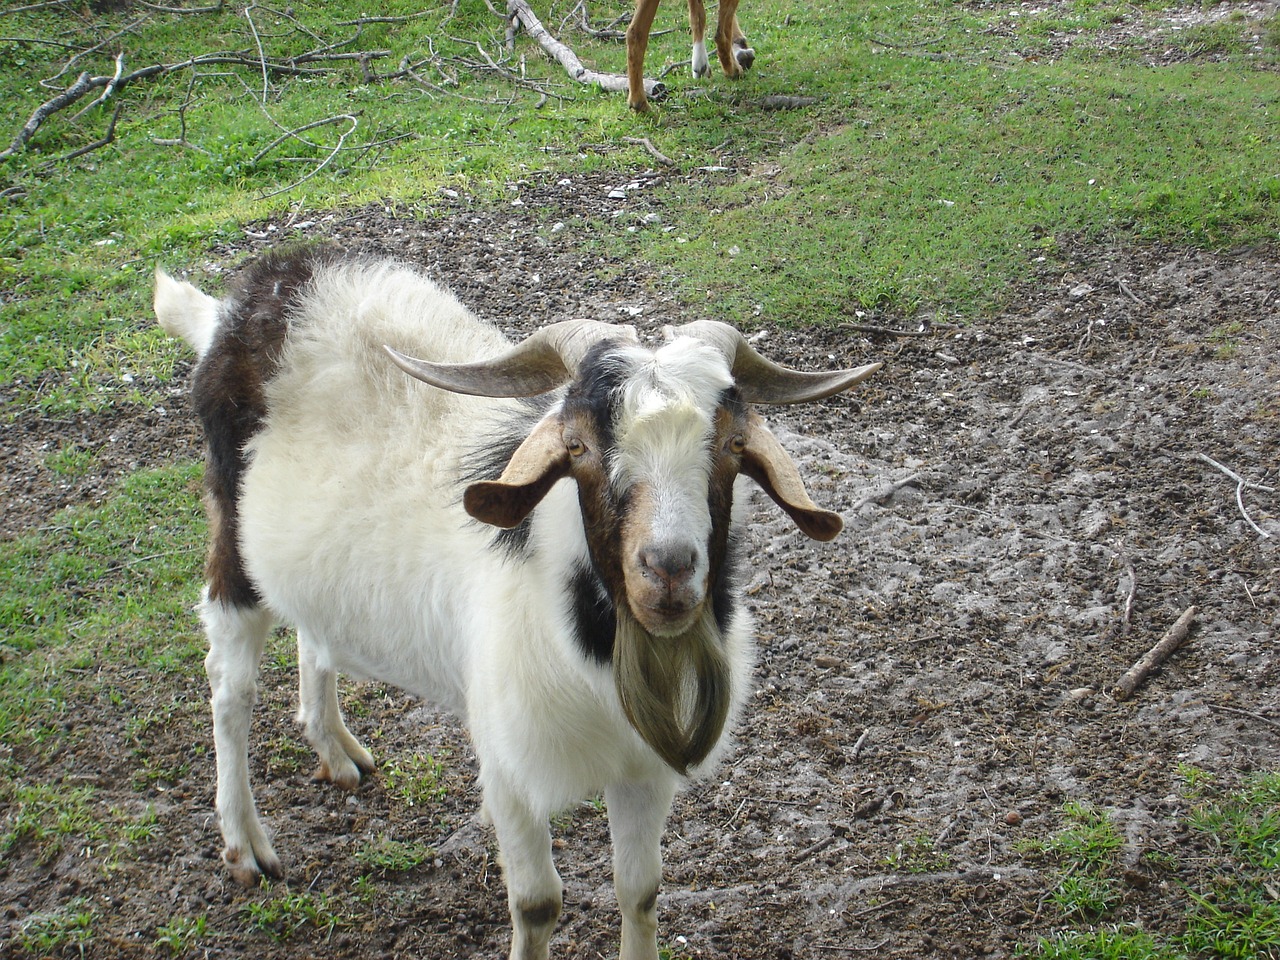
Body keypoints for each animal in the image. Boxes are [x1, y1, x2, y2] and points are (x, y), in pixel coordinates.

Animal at [152, 245, 880, 960]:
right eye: (578, 446)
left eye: (731, 446)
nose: (668, 570)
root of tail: (245, 308)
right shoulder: (508, 766)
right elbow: (537, 905)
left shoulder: (642, 768)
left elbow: (640, 889)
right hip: (233, 550)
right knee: (230, 685)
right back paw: (246, 844)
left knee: (312, 629)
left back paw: (335, 750)